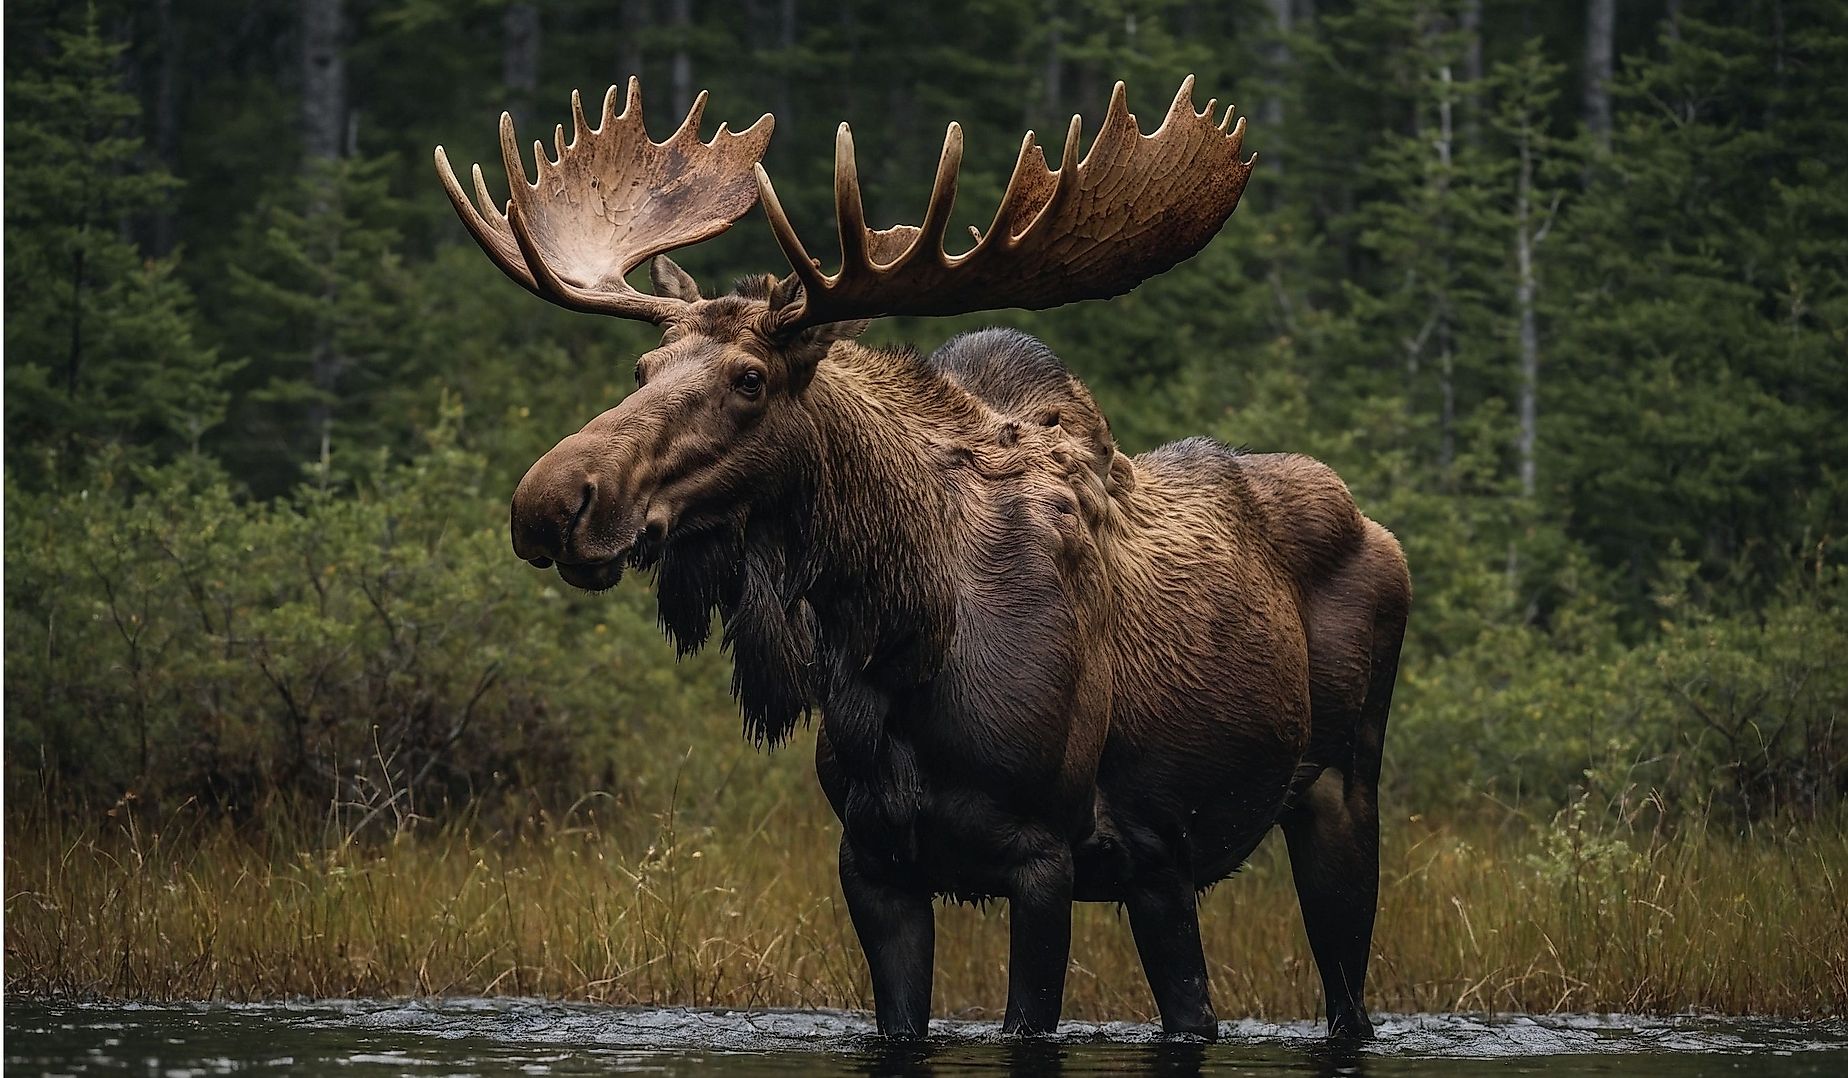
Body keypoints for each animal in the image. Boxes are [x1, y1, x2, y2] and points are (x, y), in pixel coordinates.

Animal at [436, 78, 1411, 1042]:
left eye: (750, 379)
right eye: (641, 368)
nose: (550, 502)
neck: (899, 647)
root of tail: (1377, 529)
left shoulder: (1042, 858)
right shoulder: (874, 861)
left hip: (1341, 790)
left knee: (1347, 993)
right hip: (1159, 872)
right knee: (1192, 1006)